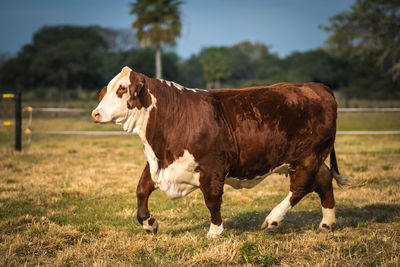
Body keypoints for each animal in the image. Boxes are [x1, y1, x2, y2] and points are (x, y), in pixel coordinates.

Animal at [92, 67, 348, 239]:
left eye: (122, 88)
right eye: (107, 89)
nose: (96, 113)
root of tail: (317, 86)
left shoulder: (212, 168)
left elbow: (212, 200)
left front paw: (215, 231)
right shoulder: (157, 165)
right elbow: (141, 190)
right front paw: (149, 223)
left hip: (308, 157)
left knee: (300, 187)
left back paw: (273, 219)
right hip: (310, 159)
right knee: (323, 179)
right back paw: (327, 223)